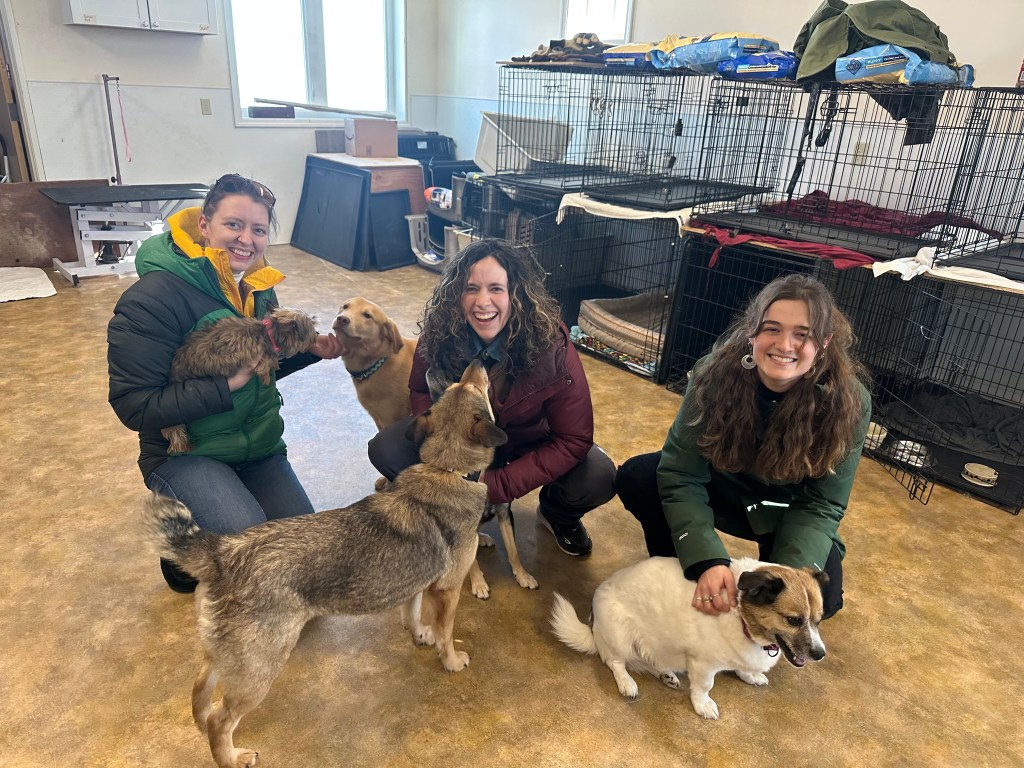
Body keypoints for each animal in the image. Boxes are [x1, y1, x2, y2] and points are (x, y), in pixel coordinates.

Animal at [144, 360, 506, 768]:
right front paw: (451, 660)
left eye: (459, 386)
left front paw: (419, 635)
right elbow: (446, 633)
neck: (445, 469)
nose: (478, 360)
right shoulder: (446, 591)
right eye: (471, 387)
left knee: (200, 694)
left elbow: (412, 615)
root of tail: (221, 553)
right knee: (220, 720)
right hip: (260, 666)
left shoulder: (415, 585)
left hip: (225, 653)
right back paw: (231, 758)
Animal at [161, 307, 318, 454]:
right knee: (175, 432)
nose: (317, 336)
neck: (268, 333)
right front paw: (268, 372)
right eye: (311, 329)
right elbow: (265, 366)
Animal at [550, 557, 828, 720]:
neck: (741, 616)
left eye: (818, 620)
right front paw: (703, 705)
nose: (820, 654)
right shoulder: (704, 665)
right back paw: (627, 683)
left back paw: (666, 674)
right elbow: (705, 687)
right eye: (793, 620)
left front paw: (750, 675)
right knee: (615, 662)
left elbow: (742, 668)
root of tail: (592, 623)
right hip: (619, 636)